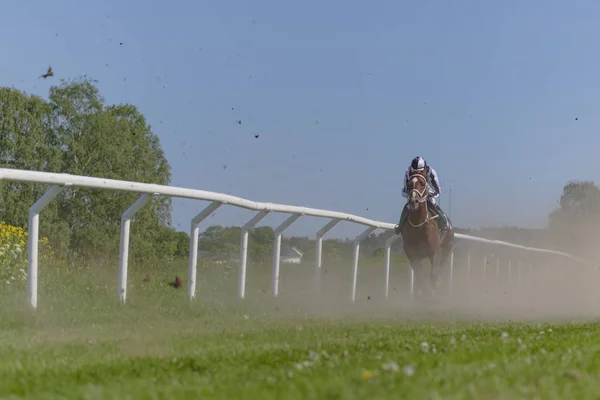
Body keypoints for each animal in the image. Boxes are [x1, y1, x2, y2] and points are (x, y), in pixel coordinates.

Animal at [394, 167, 454, 298]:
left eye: (422, 183)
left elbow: (433, 275)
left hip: (448, 245)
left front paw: (435, 288)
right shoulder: (413, 255)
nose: (414, 201)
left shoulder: (434, 252)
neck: (419, 226)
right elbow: (420, 277)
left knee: (443, 262)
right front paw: (424, 293)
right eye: (408, 184)